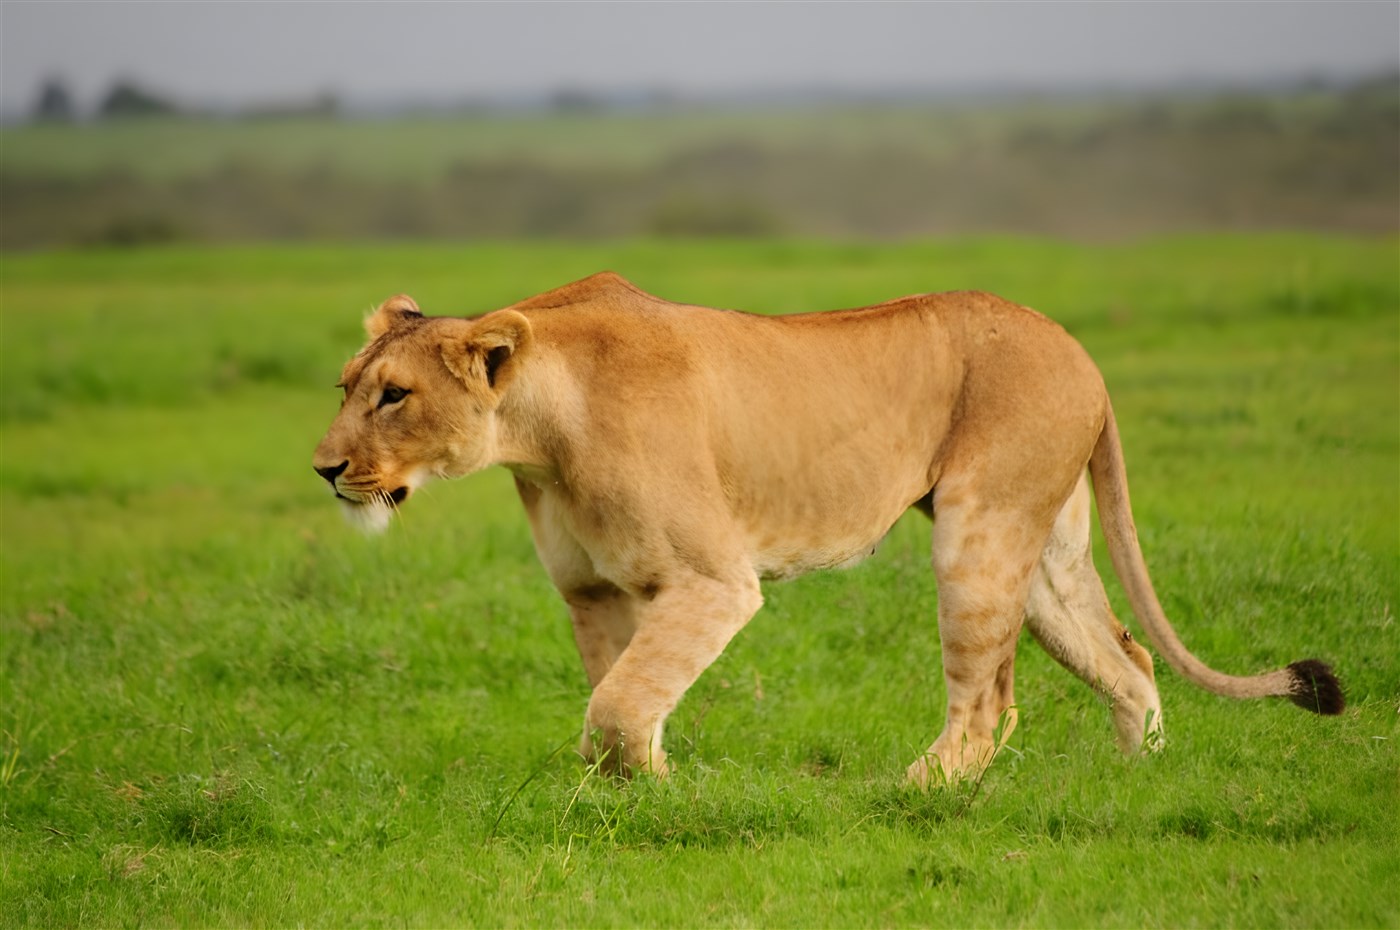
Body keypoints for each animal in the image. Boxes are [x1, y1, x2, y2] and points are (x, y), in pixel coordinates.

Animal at [313, 272, 1343, 785]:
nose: (324, 469)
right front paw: (634, 798)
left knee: (988, 704)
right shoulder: (596, 589)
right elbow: (620, 697)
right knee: (1127, 659)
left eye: (394, 396)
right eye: (346, 388)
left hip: (978, 530)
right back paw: (1136, 790)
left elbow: (616, 705)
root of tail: (1080, 352)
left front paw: (660, 794)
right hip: (1046, 550)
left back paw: (909, 792)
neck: (536, 436)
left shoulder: (713, 581)